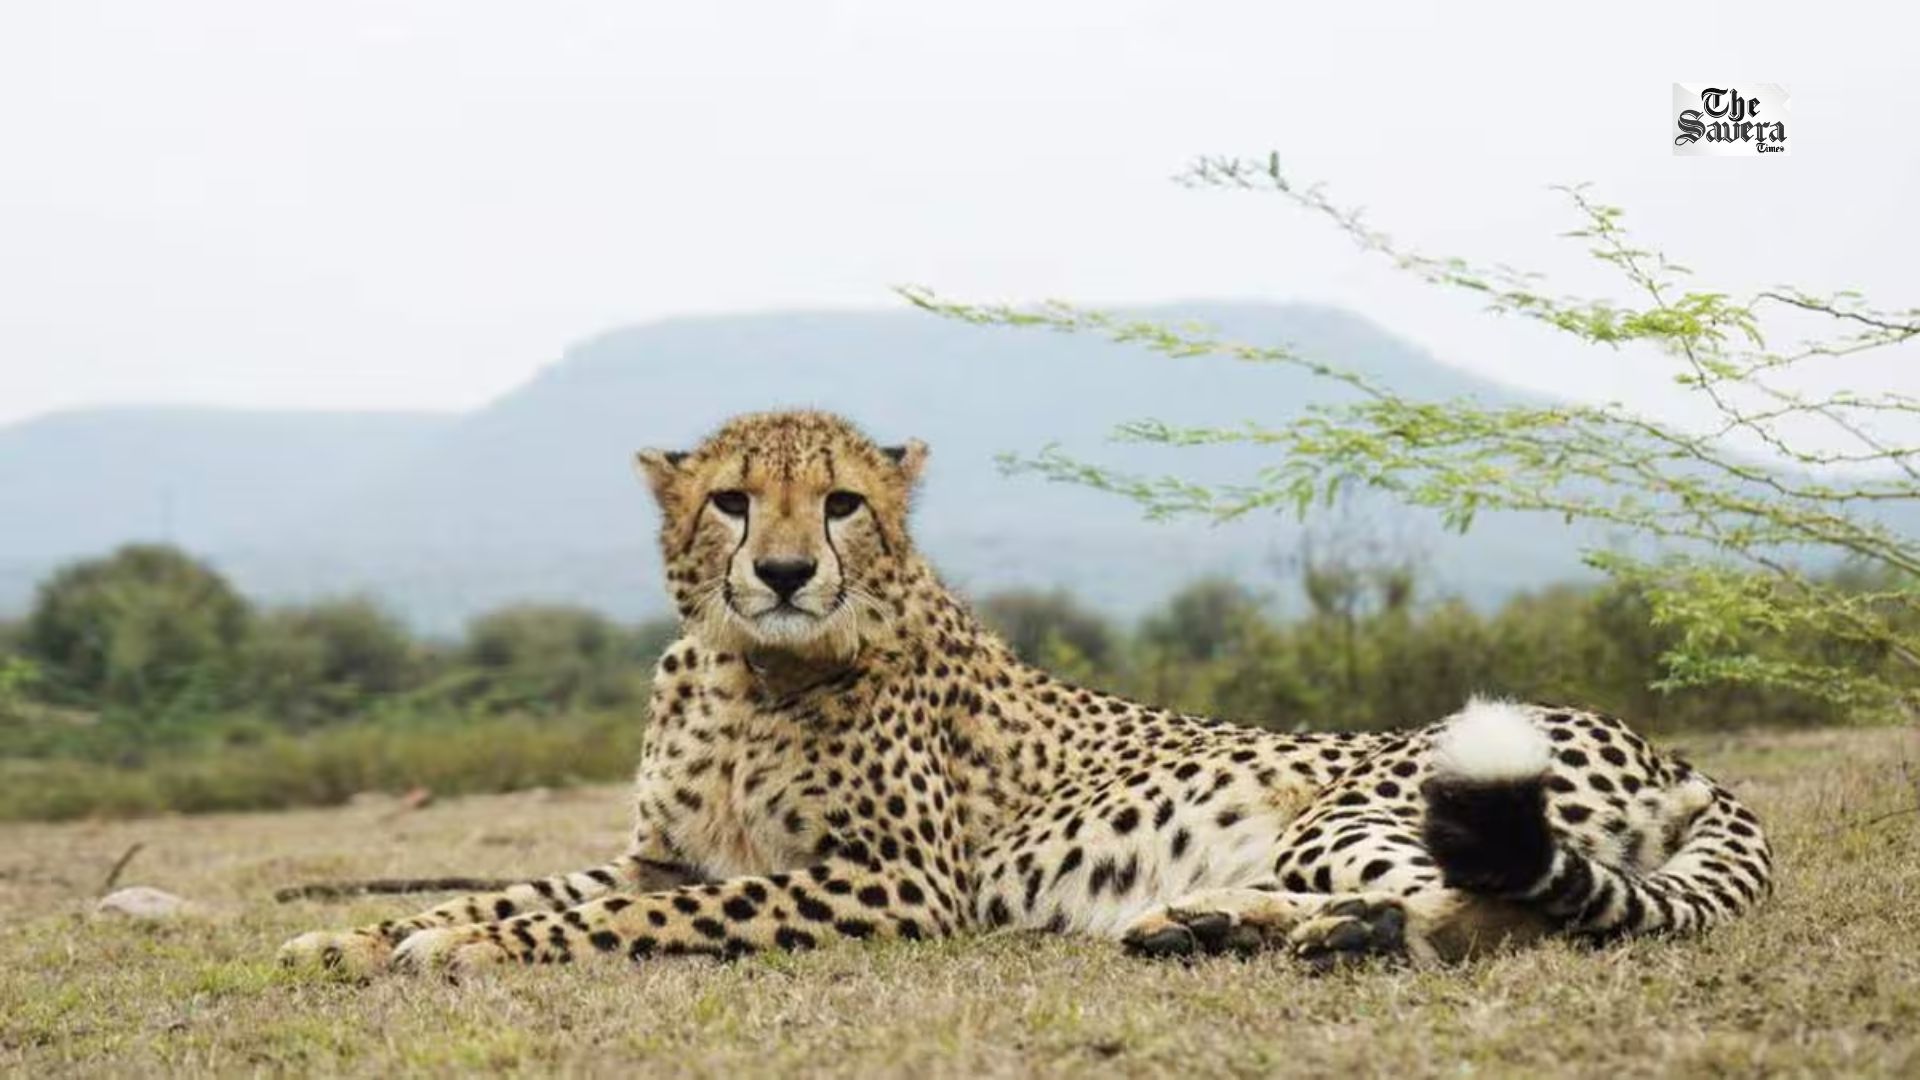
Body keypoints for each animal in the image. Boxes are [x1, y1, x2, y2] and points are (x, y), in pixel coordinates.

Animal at [277, 409, 1772, 977]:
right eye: (731, 500)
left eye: (840, 503)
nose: (781, 571)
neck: (748, 671)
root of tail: (1668, 746)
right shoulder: (660, 853)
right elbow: (526, 885)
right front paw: (359, 933)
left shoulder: (897, 884)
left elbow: (651, 915)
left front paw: (465, 950)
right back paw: (1208, 922)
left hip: (1365, 799)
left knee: (1493, 914)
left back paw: (1315, 931)